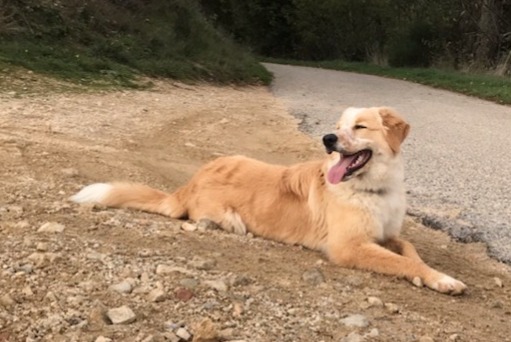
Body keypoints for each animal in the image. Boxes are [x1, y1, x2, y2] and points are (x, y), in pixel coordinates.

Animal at [71, 106, 468, 294]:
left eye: (359, 127)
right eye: (337, 126)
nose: (327, 139)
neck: (372, 188)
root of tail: (191, 180)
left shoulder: (389, 234)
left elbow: (411, 252)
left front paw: (433, 274)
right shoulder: (350, 247)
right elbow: (403, 262)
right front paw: (442, 280)